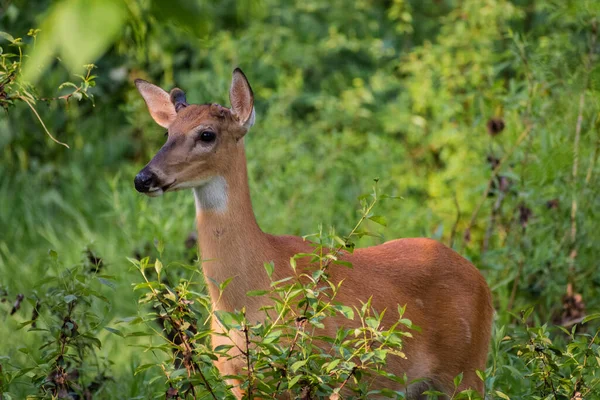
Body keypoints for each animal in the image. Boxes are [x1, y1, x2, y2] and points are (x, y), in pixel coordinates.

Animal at [135, 68, 492, 396]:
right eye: (167, 133)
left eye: (207, 134)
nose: (143, 178)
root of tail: (483, 283)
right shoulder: (239, 382)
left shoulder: (311, 370)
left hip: (467, 371)